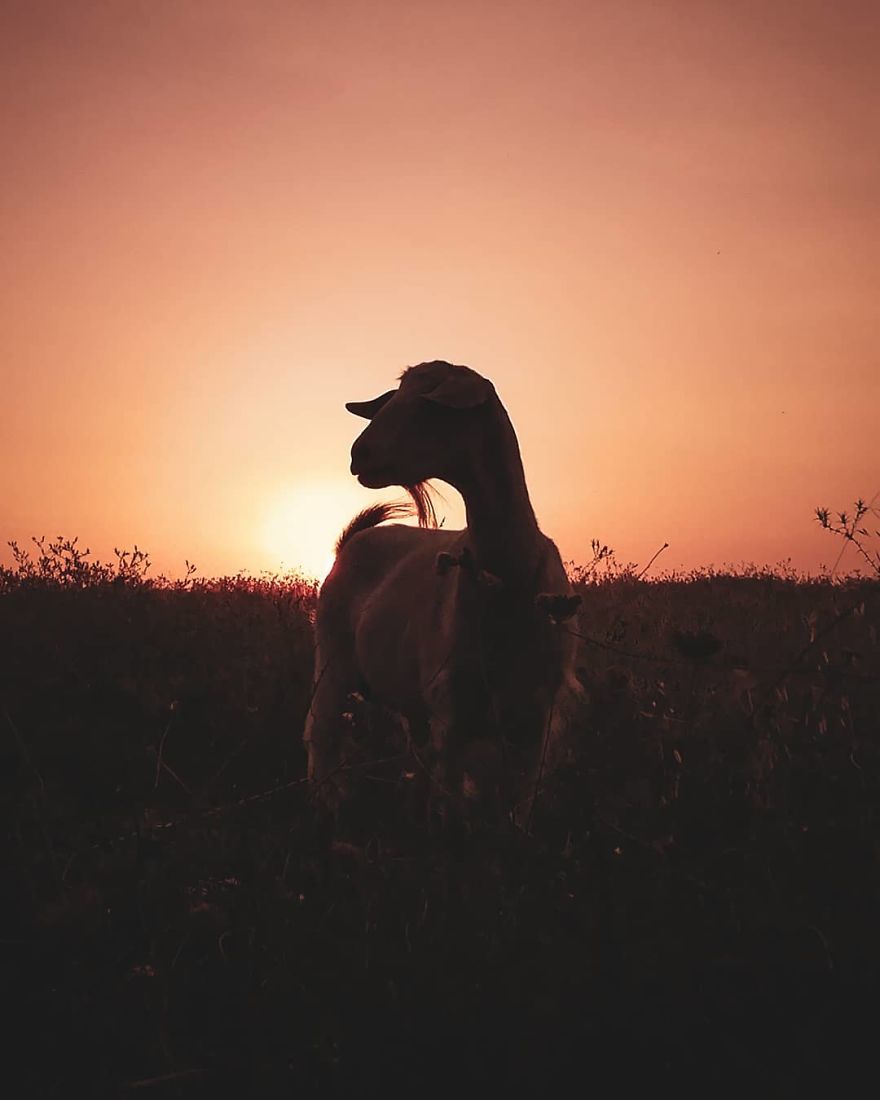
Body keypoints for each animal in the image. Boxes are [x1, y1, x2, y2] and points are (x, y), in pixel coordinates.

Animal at [303, 360, 585, 818]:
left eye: (428, 404)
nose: (359, 454)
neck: (507, 580)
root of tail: (350, 541)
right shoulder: (451, 710)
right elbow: (452, 803)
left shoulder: (536, 715)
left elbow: (517, 803)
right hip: (331, 660)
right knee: (321, 732)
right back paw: (328, 803)